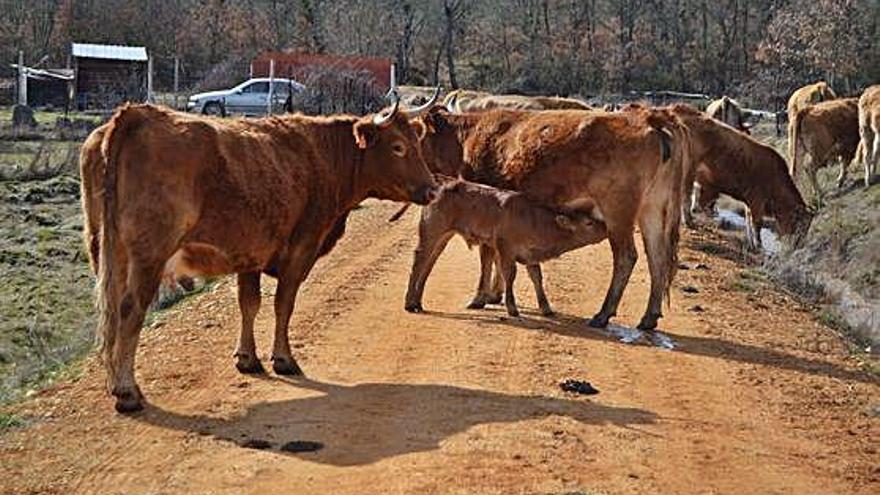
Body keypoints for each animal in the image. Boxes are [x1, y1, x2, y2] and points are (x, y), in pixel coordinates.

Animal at [86, 99, 436, 412]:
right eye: (398, 147)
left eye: (417, 144)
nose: (432, 189)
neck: (321, 157)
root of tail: (136, 114)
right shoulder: (300, 251)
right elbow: (283, 305)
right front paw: (283, 358)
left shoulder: (250, 254)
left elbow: (249, 304)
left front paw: (247, 358)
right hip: (148, 257)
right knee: (130, 309)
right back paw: (127, 391)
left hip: (109, 254)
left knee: (113, 313)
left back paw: (114, 382)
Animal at [404, 181, 604, 318]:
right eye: (588, 222)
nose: (605, 227)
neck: (532, 219)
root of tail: (438, 187)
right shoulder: (505, 249)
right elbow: (509, 274)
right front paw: (512, 308)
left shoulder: (531, 255)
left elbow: (537, 278)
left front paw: (546, 308)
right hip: (431, 232)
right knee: (419, 261)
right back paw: (409, 304)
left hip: (443, 237)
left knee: (428, 264)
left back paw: (418, 302)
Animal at [672, 105, 816, 252]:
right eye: (801, 225)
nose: (799, 246)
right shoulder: (757, 200)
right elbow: (757, 223)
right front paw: (759, 246)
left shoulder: (750, 201)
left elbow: (748, 222)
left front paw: (752, 244)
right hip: (688, 172)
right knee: (685, 197)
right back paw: (689, 221)